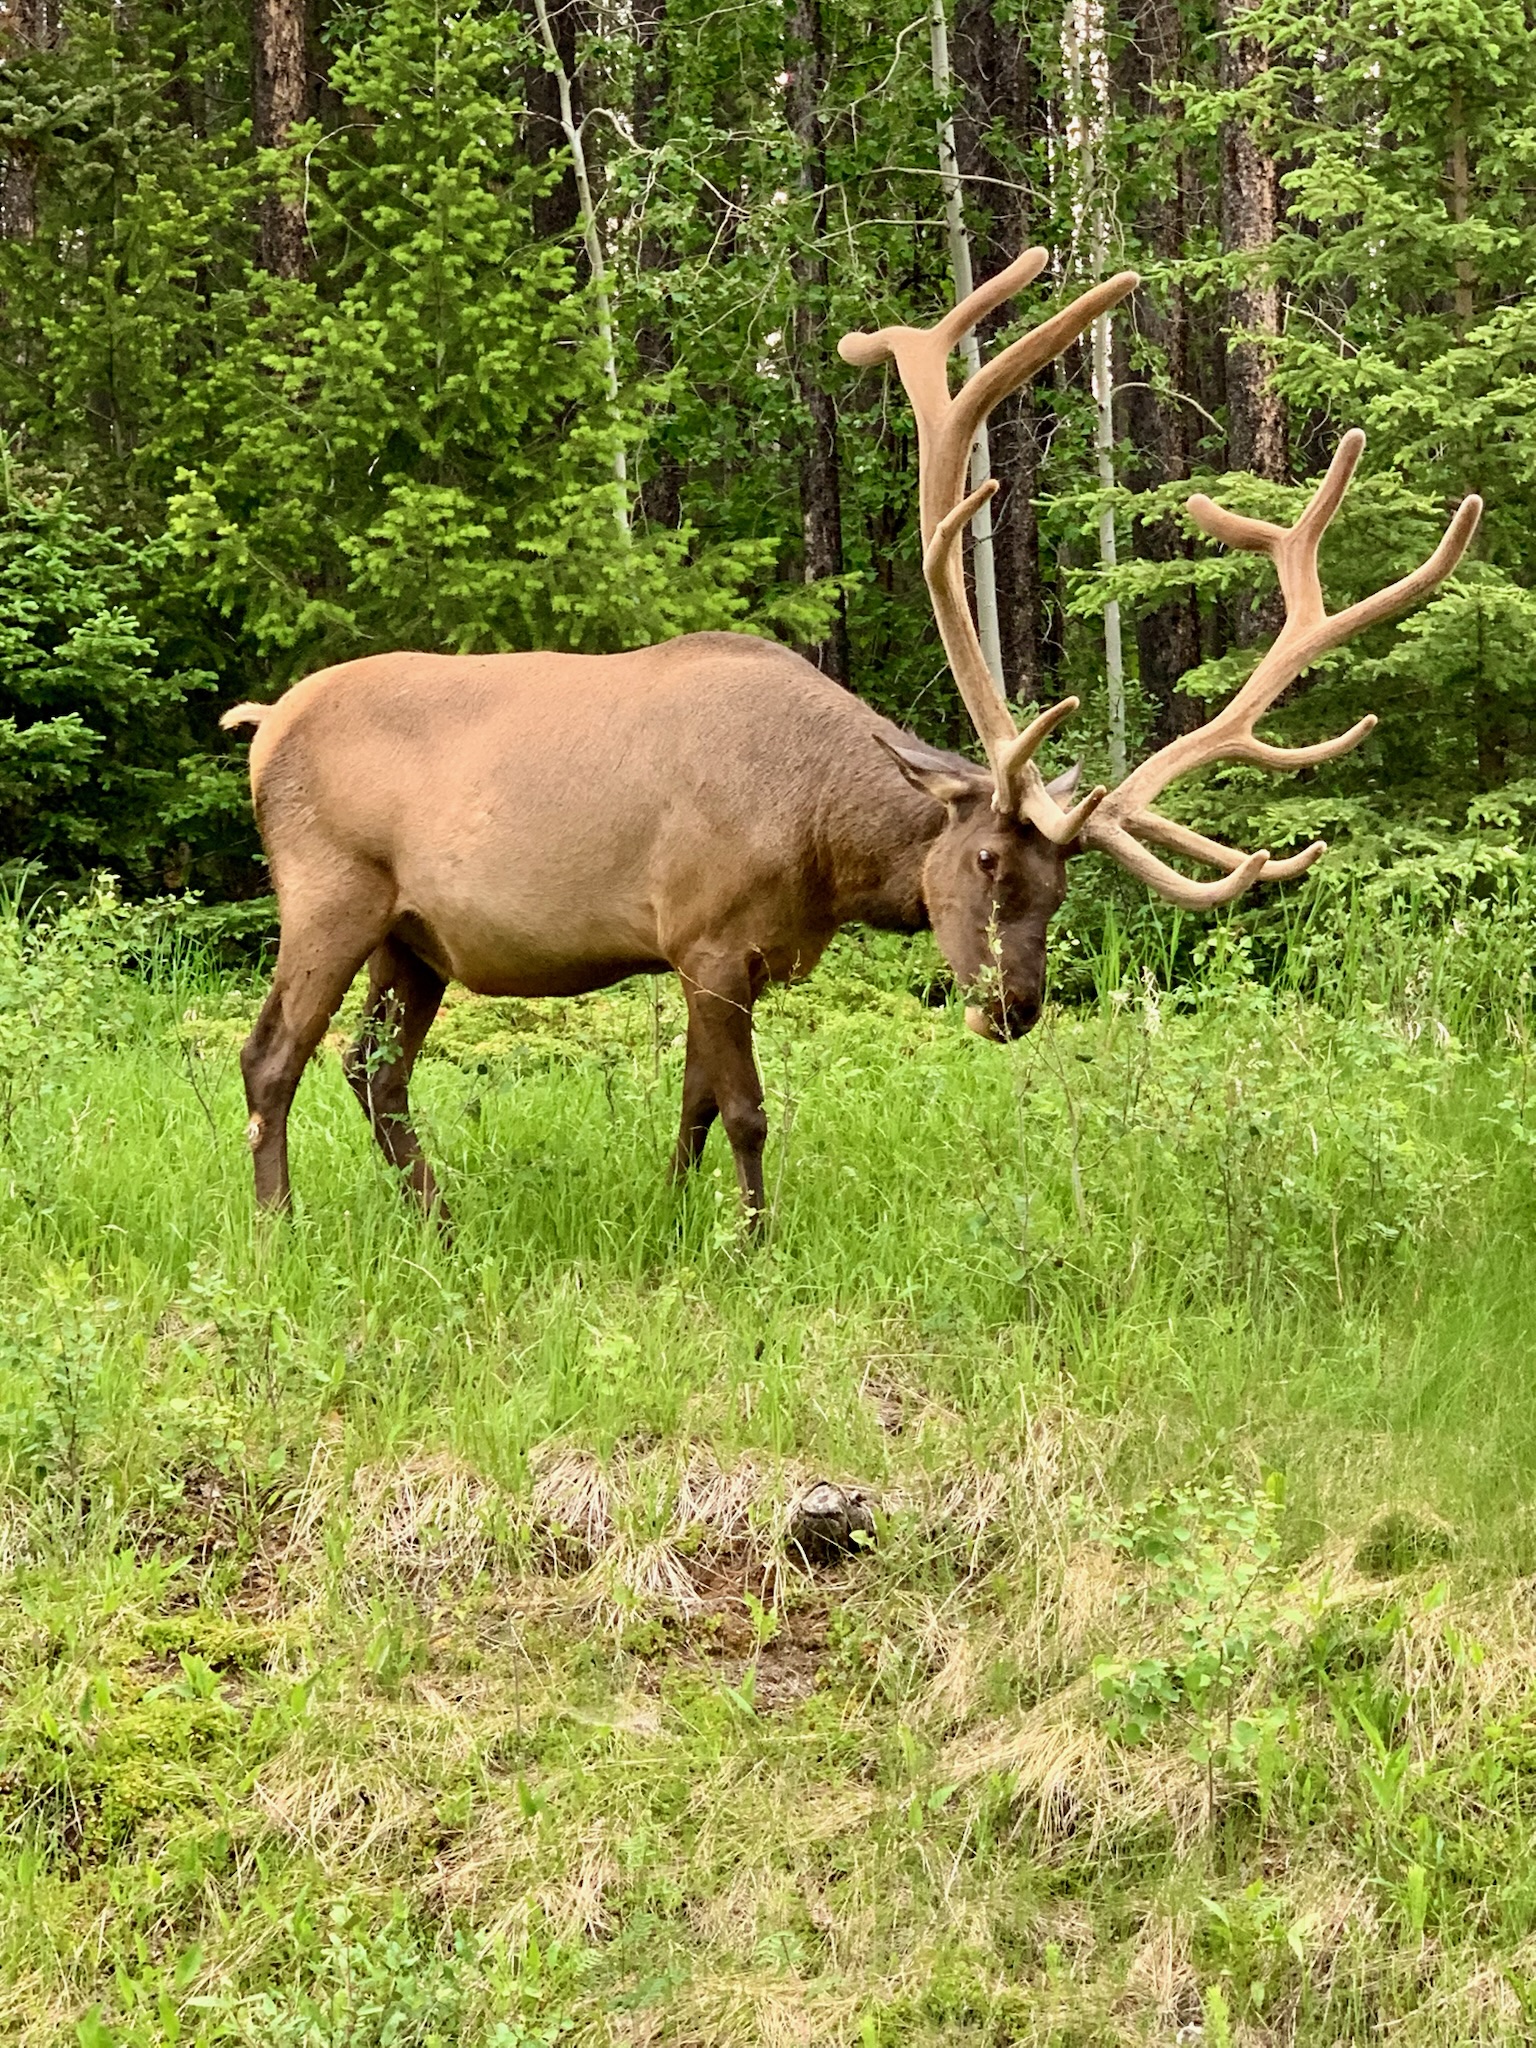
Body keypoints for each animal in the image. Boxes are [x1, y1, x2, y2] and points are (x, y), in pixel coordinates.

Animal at [221, 246, 1480, 1233]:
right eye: (986, 858)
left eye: (1061, 889)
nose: (1013, 1007)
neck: (823, 846)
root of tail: (262, 725)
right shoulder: (708, 935)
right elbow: (744, 1109)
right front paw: (750, 1241)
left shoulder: (724, 953)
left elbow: (691, 1104)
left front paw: (671, 1219)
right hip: (331, 889)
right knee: (272, 1054)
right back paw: (280, 1225)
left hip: (417, 936)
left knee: (373, 1069)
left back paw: (436, 1220)